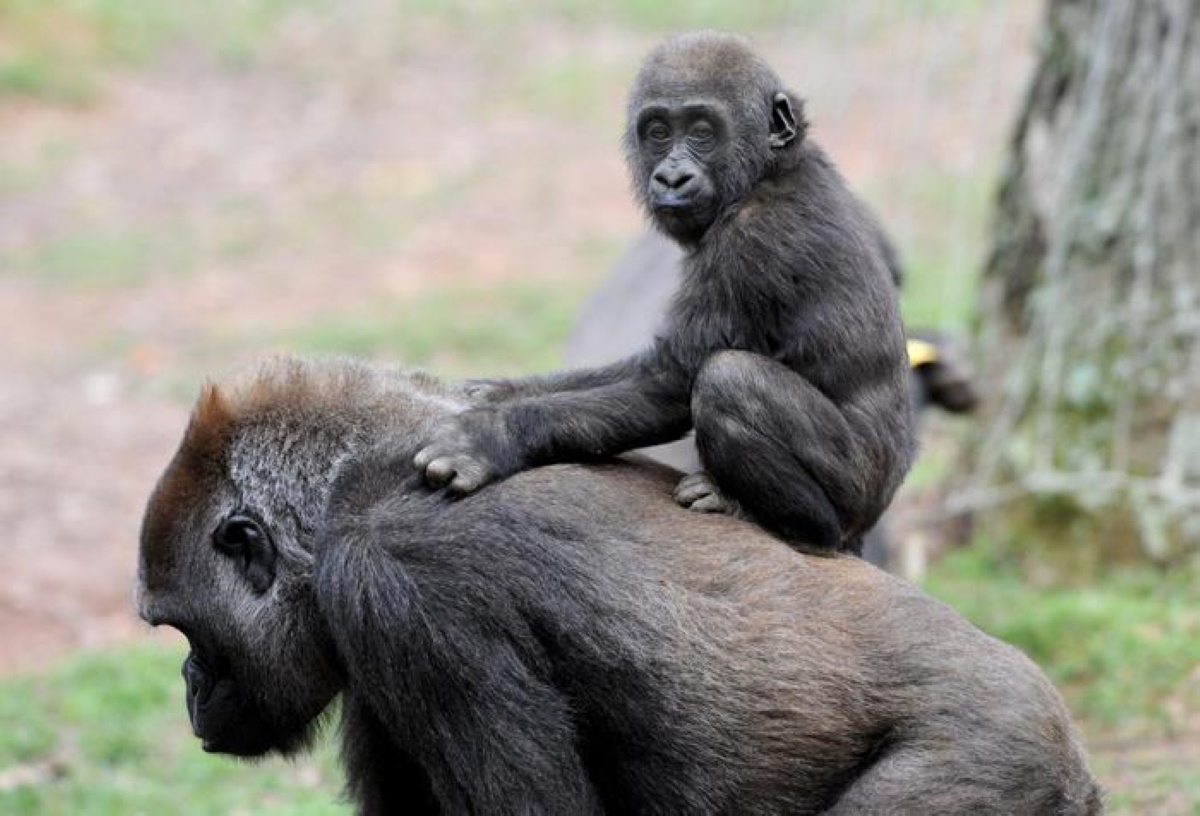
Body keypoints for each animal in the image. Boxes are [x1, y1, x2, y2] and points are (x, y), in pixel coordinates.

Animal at [417, 33, 912, 554]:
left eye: (701, 131)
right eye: (657, 131)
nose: (672, 177)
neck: (769, 169)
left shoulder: (751, 243)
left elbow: (670, 380)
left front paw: (492, 436)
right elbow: (643, 367)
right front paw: (504, 391)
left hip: (855, 504)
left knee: (729, 378)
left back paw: (784, 519)